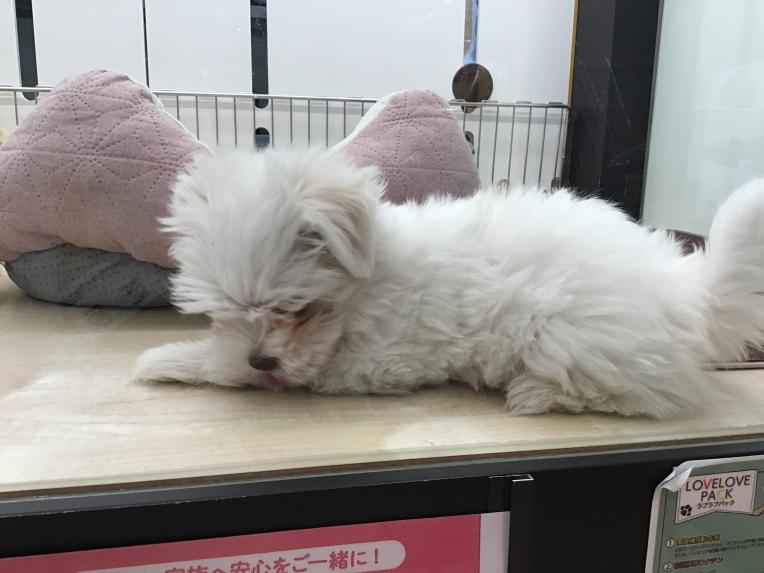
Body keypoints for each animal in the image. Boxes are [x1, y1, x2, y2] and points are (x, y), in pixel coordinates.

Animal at [134, 148, 764, 418]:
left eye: (298, 308)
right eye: (226, 311)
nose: (263, 359)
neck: (369, 275)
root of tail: (687, 287)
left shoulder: (372, 361)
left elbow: (247, 371)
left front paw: (165, 359)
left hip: (573, 337)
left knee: (645, 394)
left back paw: (536, 394)